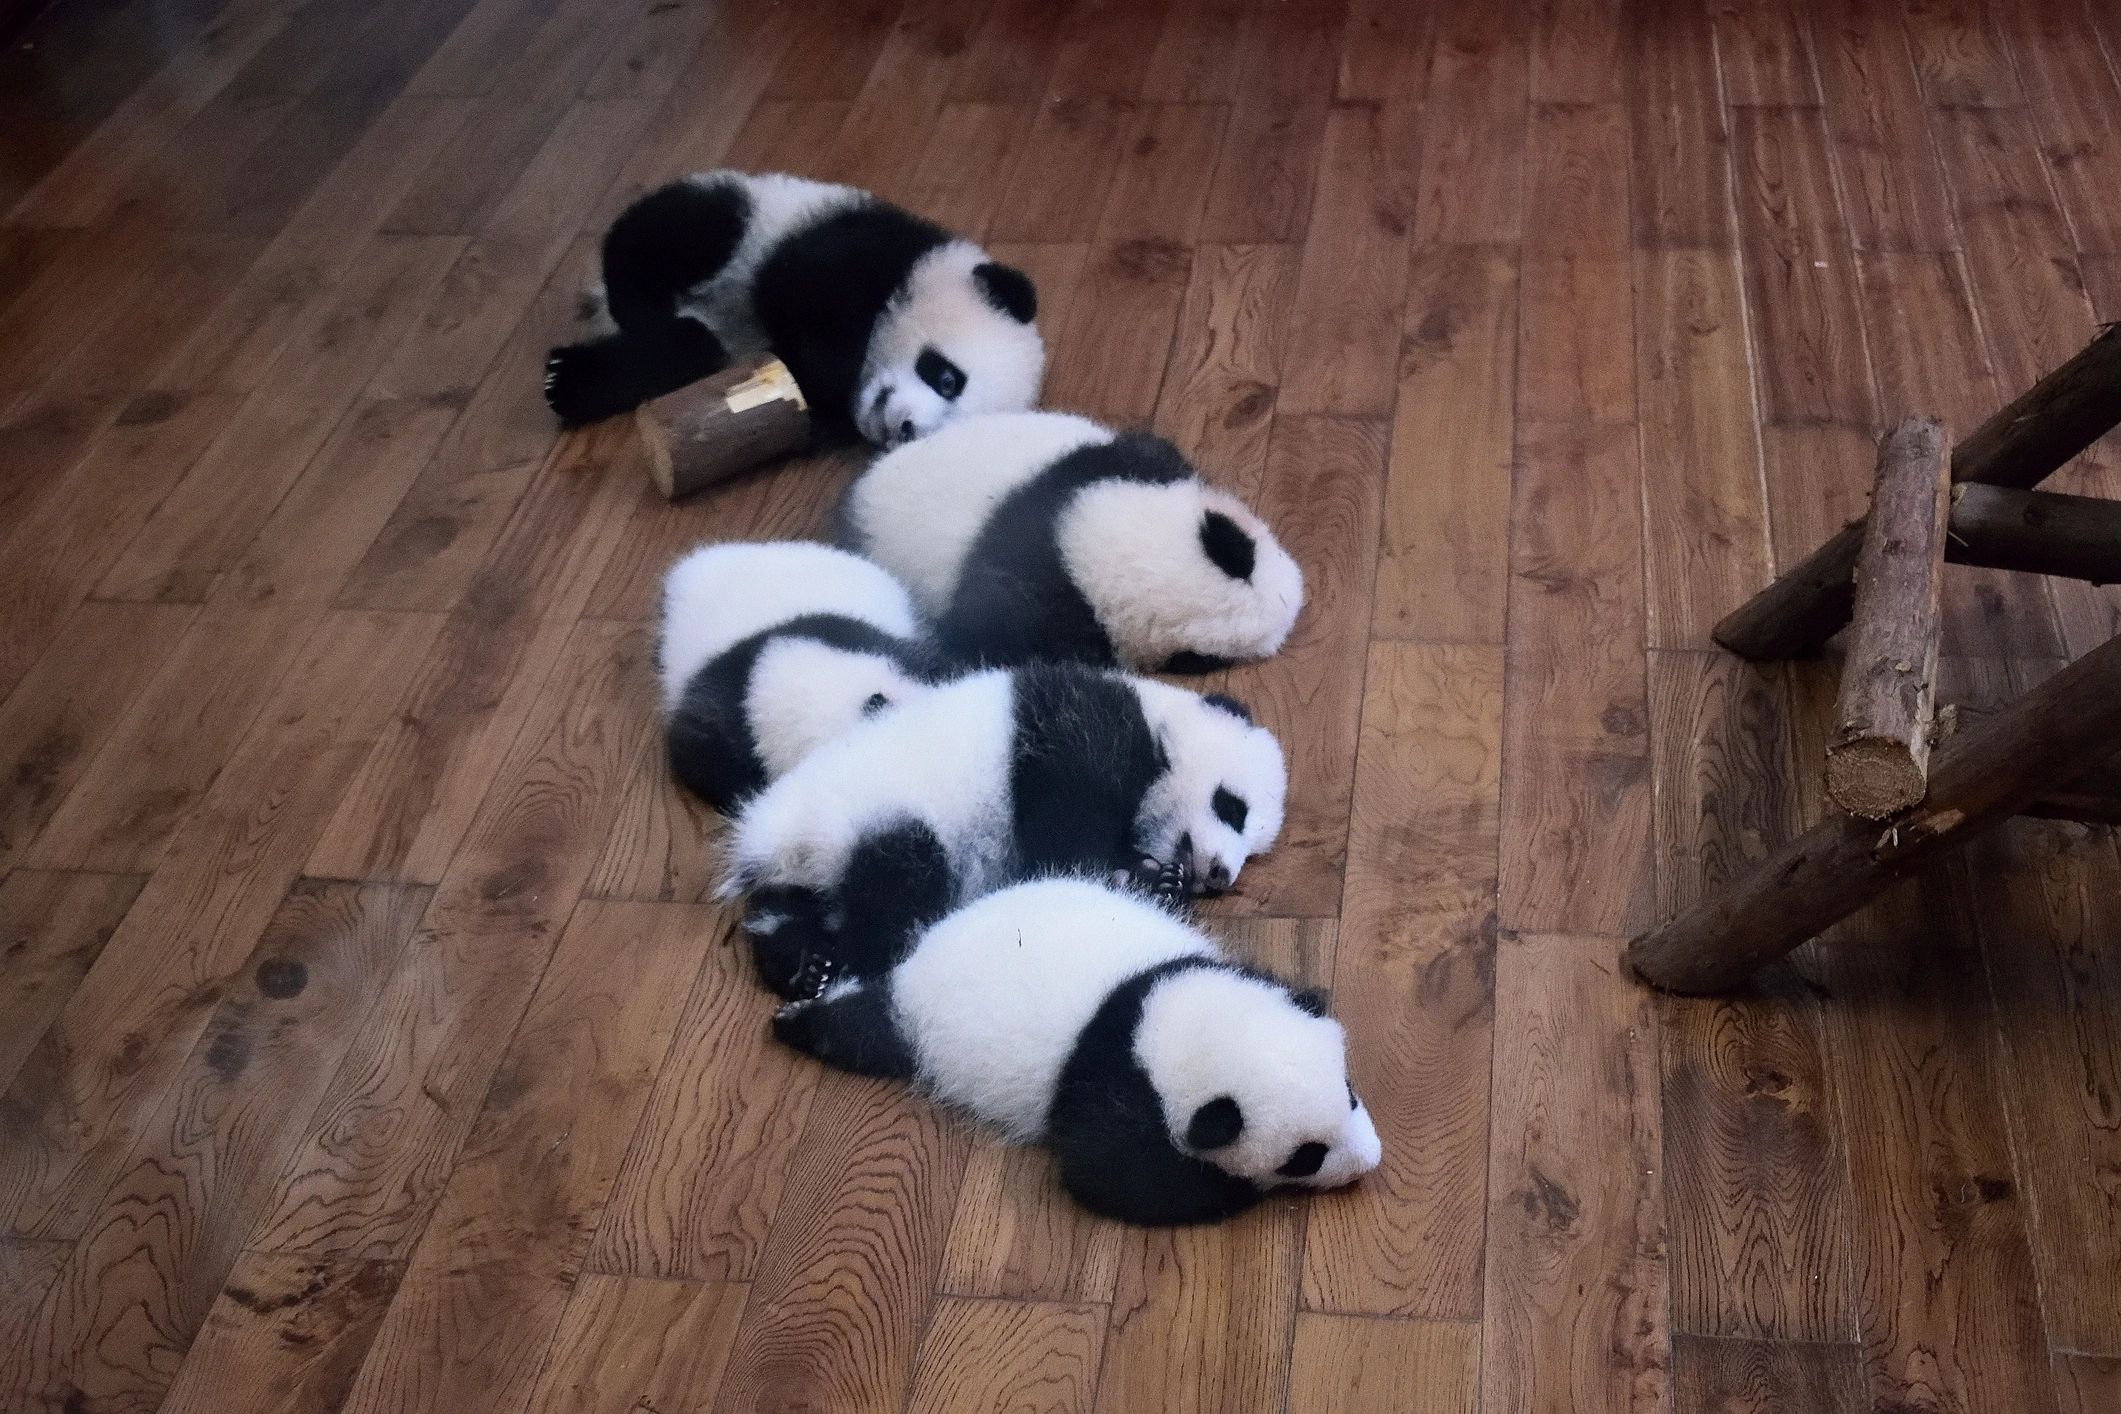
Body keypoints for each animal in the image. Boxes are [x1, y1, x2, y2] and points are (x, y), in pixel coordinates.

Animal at [545, 170, 1045, 442]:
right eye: (947, 380)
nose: (905, 430)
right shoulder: (859, 246)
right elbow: (808, 286)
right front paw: (827, 363)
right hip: (746, 214)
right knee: (673, 235)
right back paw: (634, 307)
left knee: (676, 353)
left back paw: (571, 380)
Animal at [720, 660, 1286, 999]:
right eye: (1232, 807)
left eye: (1252, 850)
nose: (1220, 874)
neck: (1155, 718)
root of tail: (770, 834)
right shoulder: (1079, 731)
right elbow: (1065, 828)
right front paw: (1137, 876)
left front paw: (1160, 879)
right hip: (870, 815)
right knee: (898, 886)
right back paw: (858, 961)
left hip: (811, 862)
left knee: (784, 910)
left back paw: (806, 963)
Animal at [771, 876, 1383, 1226]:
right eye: (1306, 1156)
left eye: (1351, 1094)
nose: (1369, 1161)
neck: (1172, 1025)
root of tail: (921, 955)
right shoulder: (1113, 1086)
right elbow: (1113, 1178)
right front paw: (1234, 1185)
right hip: (921, 1027)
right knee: (864, 1033)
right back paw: (798, 1018)